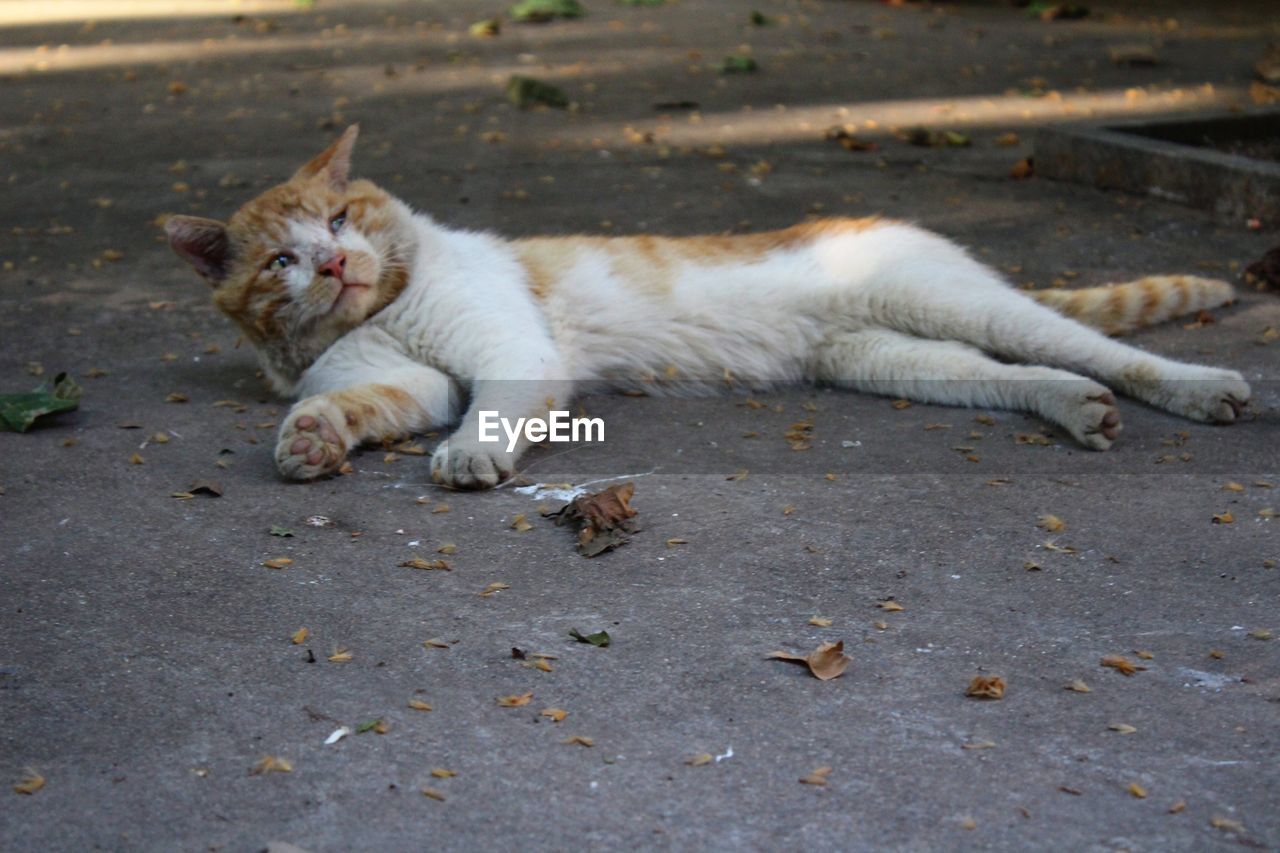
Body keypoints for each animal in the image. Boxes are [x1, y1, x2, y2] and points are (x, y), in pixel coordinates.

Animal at [162, 124, 1249, 484]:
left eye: (343, 216)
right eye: (284, 259)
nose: (336, 264)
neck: (382, 309)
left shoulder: (508, 355)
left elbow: (489, 411)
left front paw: (471, 454)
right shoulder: (405, 380)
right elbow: (353, 401)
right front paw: (311, 439)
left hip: (955, 306)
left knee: (1104, 349)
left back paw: (1202, 389)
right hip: (898, 359)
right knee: (1027, 374)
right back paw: (1075, 410)